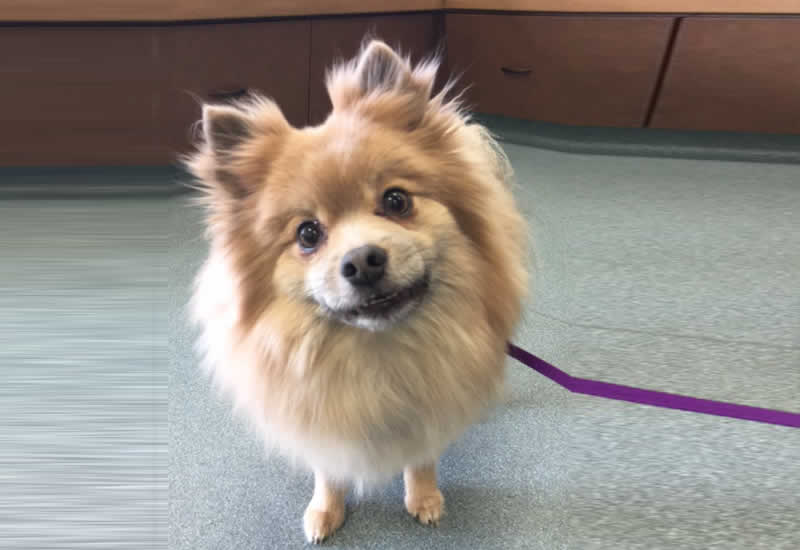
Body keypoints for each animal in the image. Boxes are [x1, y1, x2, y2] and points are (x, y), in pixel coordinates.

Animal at [186, 40, 524, 548]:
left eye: (396, 201)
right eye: (308, 234)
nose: (363, 261)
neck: (379, 356)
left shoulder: (433, 404)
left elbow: (423, 456)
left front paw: (424, 497)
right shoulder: (323, 420)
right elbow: (330, 471)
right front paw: (326, 510)